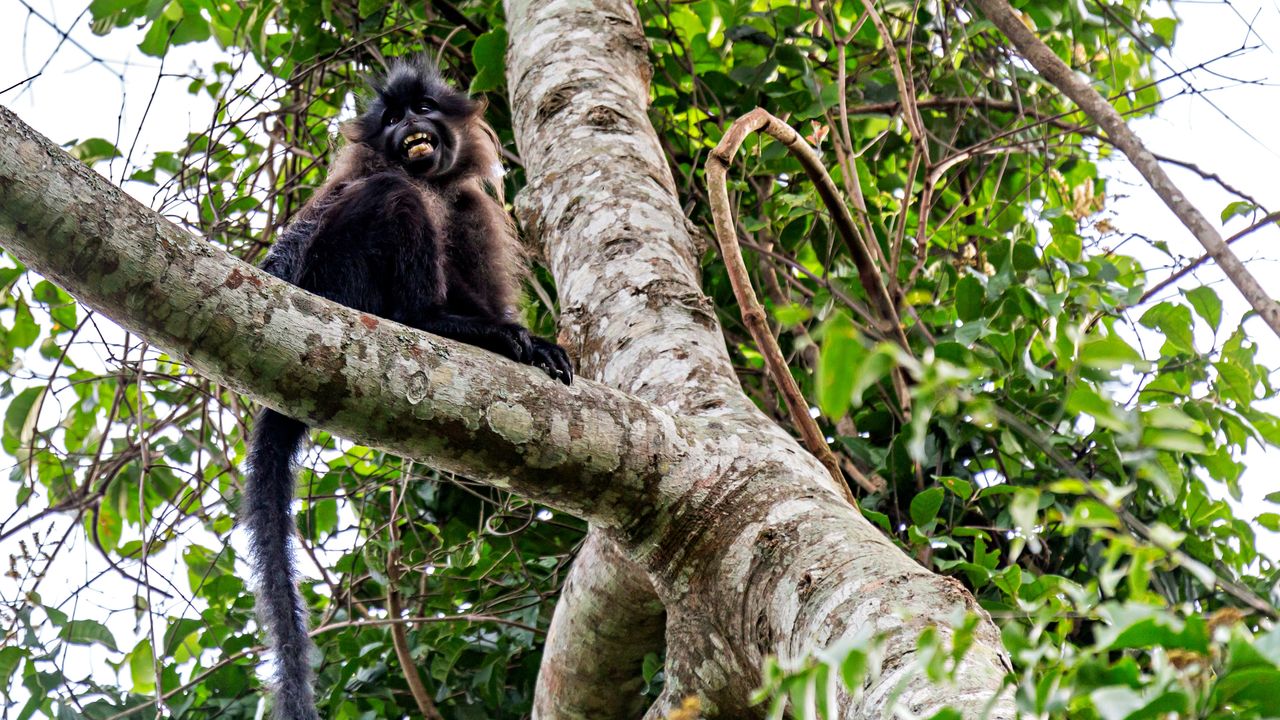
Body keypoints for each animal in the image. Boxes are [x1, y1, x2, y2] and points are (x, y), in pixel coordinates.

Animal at [242, 58, 572, 720]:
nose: (408, 127)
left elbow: (470, 218)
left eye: (421, 109)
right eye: (392, 117)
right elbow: (313, 227)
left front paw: (522, 339)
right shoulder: (352, 184)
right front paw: (493, 333)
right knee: (392, 200)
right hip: (334, 278)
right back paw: (434, 323)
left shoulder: (468, 200)